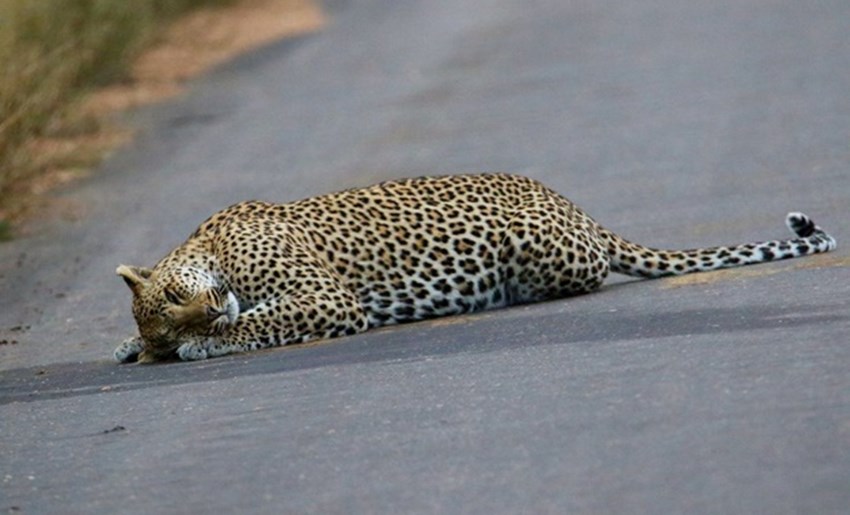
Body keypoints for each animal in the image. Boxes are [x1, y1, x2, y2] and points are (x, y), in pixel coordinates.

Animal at [112, 172, 836, 362]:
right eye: (169, 318)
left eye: (176, 299)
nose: (204, 315)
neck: (209, 243)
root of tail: (570, 202)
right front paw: (130, 346)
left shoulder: (325, 298)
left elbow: (256, 321)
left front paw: (206, 343)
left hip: (535, 249)